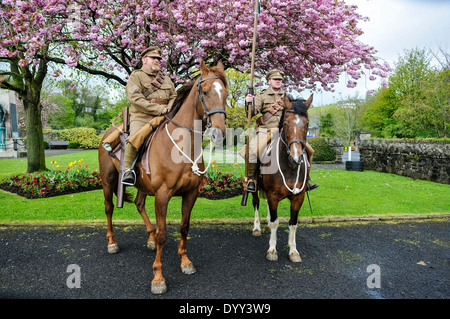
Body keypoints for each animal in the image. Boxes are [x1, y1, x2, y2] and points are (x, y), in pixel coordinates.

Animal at [97, 60, 227, 296]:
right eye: (204, 92)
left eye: (225, 93)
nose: (219, 133)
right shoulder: (163, 195)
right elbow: (163, 234)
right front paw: (158, 278)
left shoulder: (190, 194)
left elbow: (184, 227)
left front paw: (185, 262)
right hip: (108, 181)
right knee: (109, 208)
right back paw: (112, 242)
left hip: (142, 185)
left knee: (139, 204)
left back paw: (148, 237)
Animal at [250, 94, 312, 262]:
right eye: (285, 123)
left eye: (307, 124)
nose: (296, 157)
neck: (289, 167)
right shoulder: (273, 196)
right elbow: (274, 222)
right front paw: (272, 250)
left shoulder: (298, 197)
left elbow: (293, 223)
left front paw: (293, 251)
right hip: (255, 187)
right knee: (256, 203)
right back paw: (257, 227)